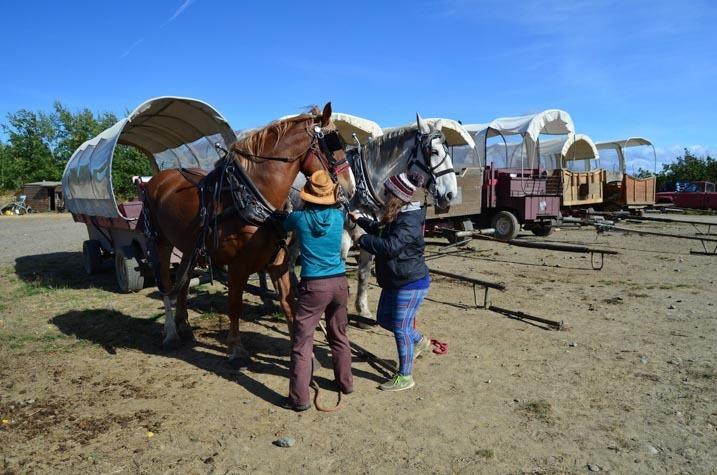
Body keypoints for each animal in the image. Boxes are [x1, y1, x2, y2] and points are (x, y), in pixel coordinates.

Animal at [142, 102, 352, 366]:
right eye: (332, 144)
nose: (350, 189)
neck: (251, 196)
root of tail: (156, 180)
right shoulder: (237, 266)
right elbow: (235, 304)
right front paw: (236, 349)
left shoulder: (278, 261)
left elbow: (288, 302)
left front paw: (303, 352)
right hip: (160, 242)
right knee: (166, 285)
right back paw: (170, 333)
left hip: (190, 247)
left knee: (182, 281)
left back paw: (184, 325)